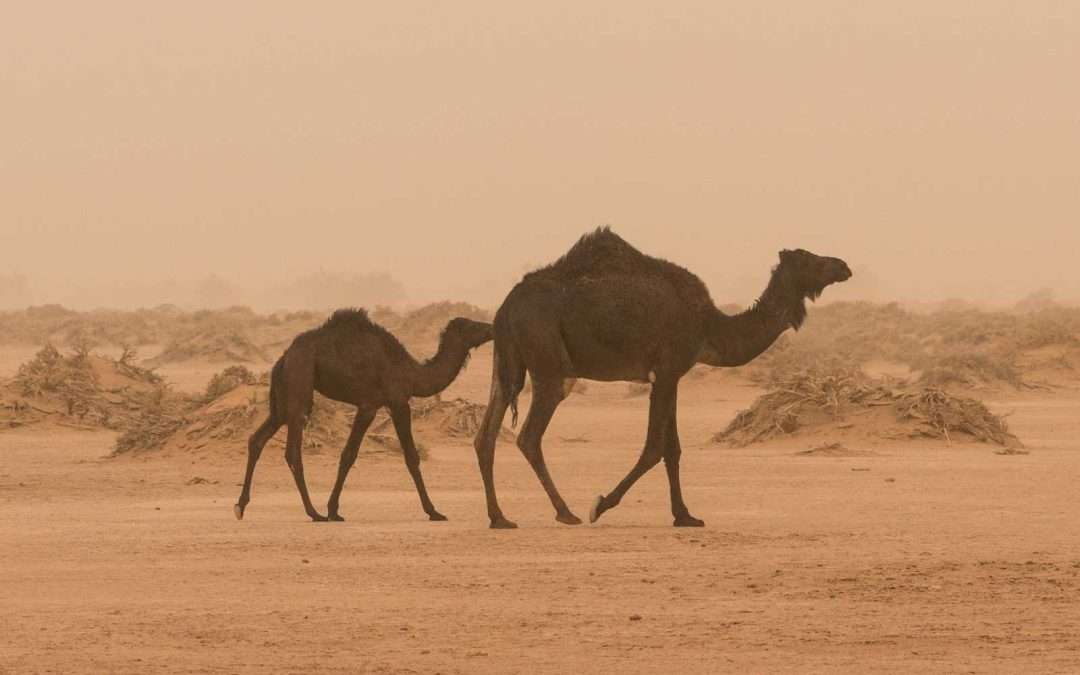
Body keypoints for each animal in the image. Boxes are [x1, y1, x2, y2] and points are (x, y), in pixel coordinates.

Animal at [234, 309, 493, 522]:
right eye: (473, 325)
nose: (491, 327)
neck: (411, 373)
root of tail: (284, 358)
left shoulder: (371, 405)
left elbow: (348, 455)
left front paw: (334, 510)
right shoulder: (391, 403)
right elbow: (409, 456)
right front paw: (434, 511)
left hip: (280, 397)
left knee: (257, 439)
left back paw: (240, 506)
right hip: (300, 378)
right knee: (293, 450)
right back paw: (313, 513)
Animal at [473, 227, 851, 528]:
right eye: (809, 258)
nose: (843, 266)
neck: (709, 326)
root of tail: (505, 308)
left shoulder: (673, 376)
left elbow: (673, 449)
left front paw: (685, 515)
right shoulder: (667, 371)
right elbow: (655, 447)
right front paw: (600, 505)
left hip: (506, 365)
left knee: (485, 435)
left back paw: (499, 517)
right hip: (550, 364)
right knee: (529, 437)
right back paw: (566, 512)